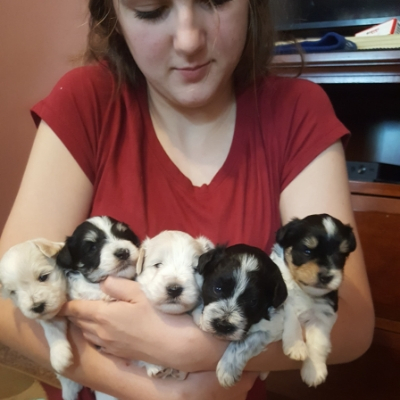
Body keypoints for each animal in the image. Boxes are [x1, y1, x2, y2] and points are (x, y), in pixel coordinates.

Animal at [191, 244, 288, 388]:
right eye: (217, 289)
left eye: (253, 301)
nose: (223, 326)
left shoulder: (274, 327)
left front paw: (227, 370)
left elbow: (244, 342)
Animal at [272, 214, 356, 386]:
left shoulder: (325, 313)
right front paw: (296, 346)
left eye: (341, 256)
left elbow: (319, 341)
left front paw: (314, 370)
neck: (305, 291)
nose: (326, 276)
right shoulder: (283, 299)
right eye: (307, 250)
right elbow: (292, 318)